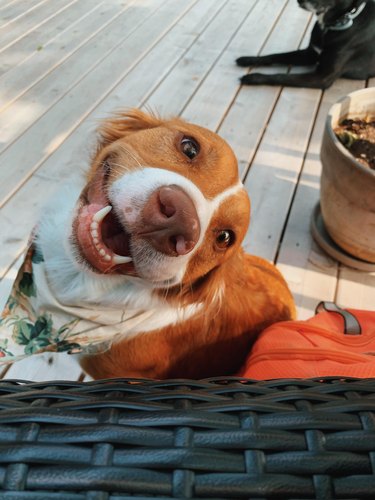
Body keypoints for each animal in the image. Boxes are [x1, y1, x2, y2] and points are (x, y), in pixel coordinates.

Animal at [238, 0, 375, 88]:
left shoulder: (322, 78)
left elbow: (281, 76)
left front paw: (253, 77)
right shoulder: (310, 54)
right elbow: (275, 56)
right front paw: (248, 59)